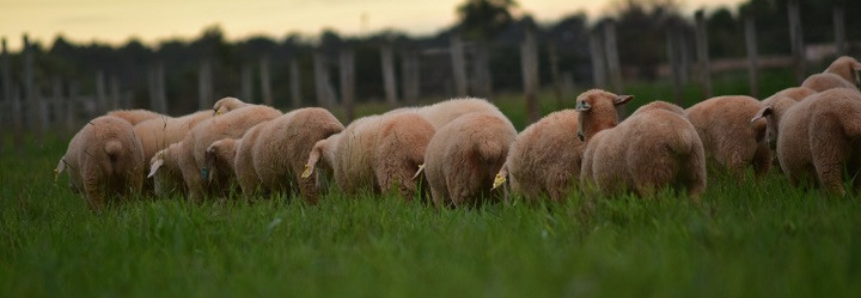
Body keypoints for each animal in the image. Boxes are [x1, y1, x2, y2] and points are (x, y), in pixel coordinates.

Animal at [304, 110, 436, 199]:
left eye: (318, 164)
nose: (319, 189)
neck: (334, 151)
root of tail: (419, 142)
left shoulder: (349, 186)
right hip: (428, 177)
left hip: (395, 172)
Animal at [576, 93, 704, 199]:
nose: (579, 135)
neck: (597, 132)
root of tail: (679, 136)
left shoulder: (592, 192)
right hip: (694, 175)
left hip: (651, 176)